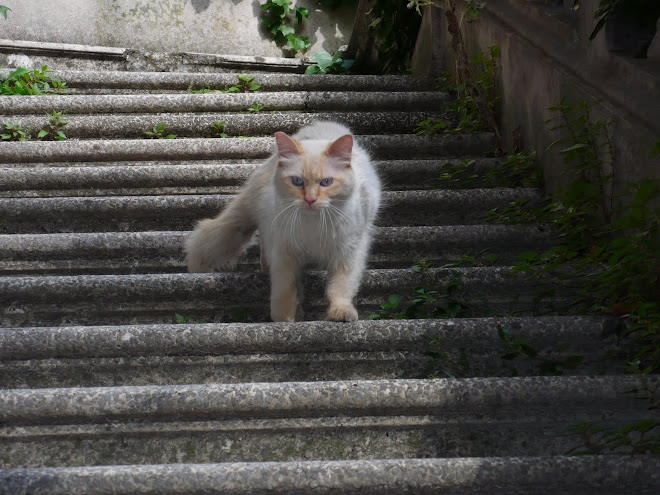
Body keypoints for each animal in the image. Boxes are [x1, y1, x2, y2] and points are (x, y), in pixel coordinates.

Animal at [184, 120, 382, 322]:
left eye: (326, 182)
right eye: (297, 181)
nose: (310, 200)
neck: (313, 225)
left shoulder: (348, 253)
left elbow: (340, 287)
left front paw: (340, 313)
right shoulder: (284, 253)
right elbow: (285, 290)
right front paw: (284, 320)